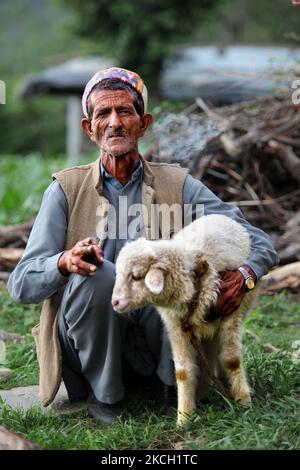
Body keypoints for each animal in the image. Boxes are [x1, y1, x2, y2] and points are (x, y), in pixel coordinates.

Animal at [112, 215, 258, 428]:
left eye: (136, 277)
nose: (114, 302)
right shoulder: (176, 327)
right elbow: (183, 372)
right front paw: (184, 418)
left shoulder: (231, 314)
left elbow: (232, 361)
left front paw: (244, 402)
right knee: (210, 353)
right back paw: (205, 390)